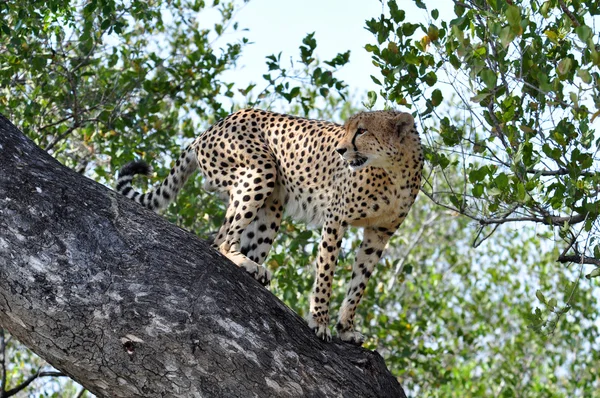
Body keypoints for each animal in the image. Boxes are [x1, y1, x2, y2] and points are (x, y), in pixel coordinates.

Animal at [117, 108, 424, 342]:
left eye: (362, 131)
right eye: (347, 130)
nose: (340, 150)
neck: (394, 170)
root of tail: (214, 125)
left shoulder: (379, 235)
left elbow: (359, 285)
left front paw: (346, 329)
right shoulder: (336, 219)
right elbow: (326, 275)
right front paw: (320, 322)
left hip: (272, 204)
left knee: (229, 238)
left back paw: (255, 269)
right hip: (259, 171)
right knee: (222, 241)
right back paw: (244, 262)